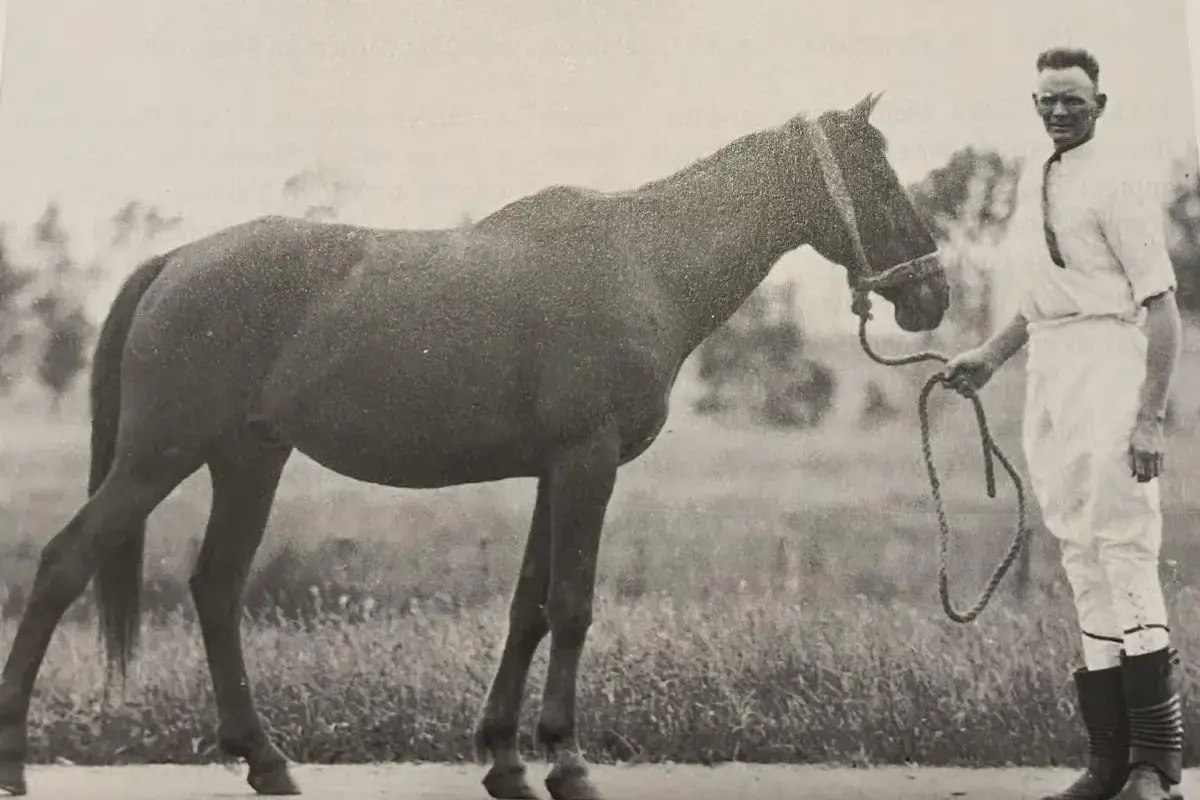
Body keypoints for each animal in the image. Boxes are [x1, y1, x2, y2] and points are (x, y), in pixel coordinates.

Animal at [0, 93, 949, 800]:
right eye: (877, 175)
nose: (932, 294)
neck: (642, 260)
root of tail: (180, 258)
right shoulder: (586, 462)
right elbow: (572, 605)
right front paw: (566, 760)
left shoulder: (555, 472)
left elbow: (530, 606)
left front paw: (504, 755)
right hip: (158, 456)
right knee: (65, 563)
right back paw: (15, 756)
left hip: (248, 460)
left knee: (216, 587)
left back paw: (266, 760)